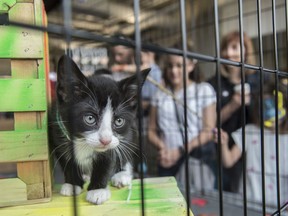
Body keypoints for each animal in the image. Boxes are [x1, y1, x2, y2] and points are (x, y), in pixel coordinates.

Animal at [49, 55, 148, 204]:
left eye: (119, 121)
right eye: (90, 118)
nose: (105, 140)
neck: (81, 141)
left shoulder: (115, 142)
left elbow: (106, 161)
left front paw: (97, 190)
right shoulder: (56, 131)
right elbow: (67, 161)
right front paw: (72, 184)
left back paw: (122, 174)